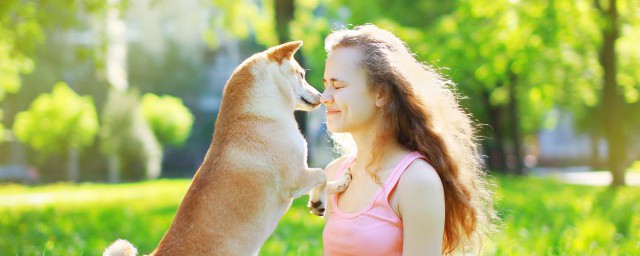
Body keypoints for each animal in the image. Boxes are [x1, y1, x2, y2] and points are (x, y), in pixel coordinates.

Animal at [105, 42, 352, 256]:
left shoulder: (301, 174)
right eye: (301, 75)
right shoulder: (295, 177)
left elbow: (326, 179)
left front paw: (333, 189)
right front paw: (319, 199)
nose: (320, 96)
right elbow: (320, 174)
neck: (257, 113)